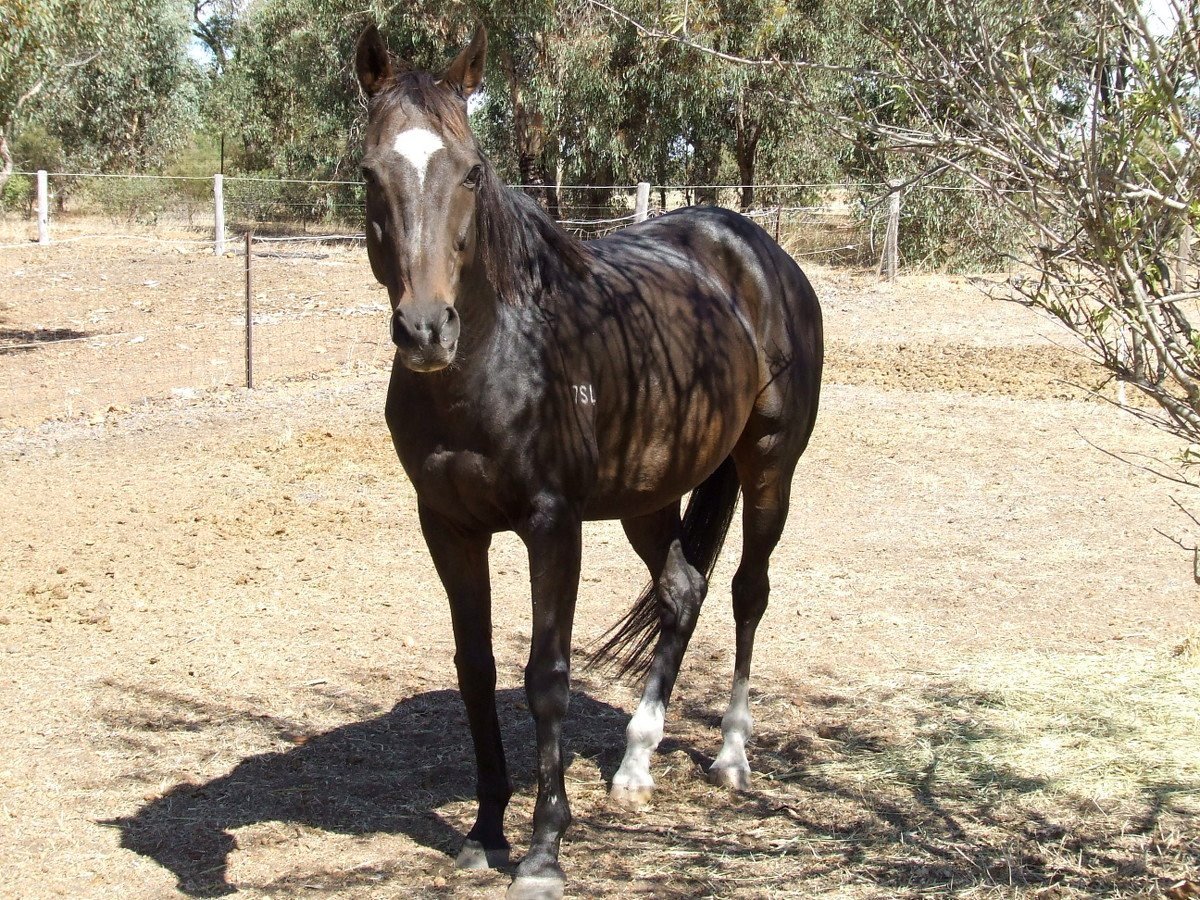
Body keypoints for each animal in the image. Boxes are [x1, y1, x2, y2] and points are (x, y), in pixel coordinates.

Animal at [355, 24, 825, 897]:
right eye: (371, 171)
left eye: (471, 169)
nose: (427, 329)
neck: (497, 358)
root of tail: (754, 247)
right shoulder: (447, 527)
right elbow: (476, 670)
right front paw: (484, 832)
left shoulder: (553, 525)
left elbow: (547, 677)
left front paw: (543, 850)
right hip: (650, 495)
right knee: (682, 590)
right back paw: (636, 762)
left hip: (769, 466)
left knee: (747, 592)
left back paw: (730, 754)